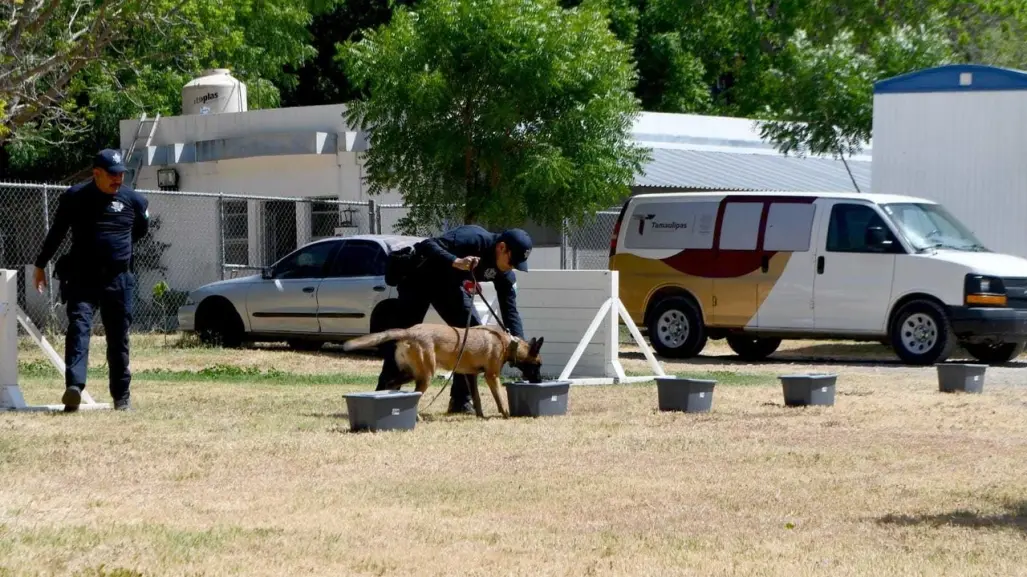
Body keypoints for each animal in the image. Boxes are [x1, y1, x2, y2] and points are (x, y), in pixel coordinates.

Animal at [343, 320, 546, 414]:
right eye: (538, 365)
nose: (539, 381)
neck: (508, 343)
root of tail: (408, 331)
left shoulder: (470, 376)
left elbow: (477, 399)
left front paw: (480, 416)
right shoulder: (492, 376)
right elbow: (500, 399)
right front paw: (506, 414)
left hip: (411, 373)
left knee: (391, 383)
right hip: (425, 376)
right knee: (414, 394)